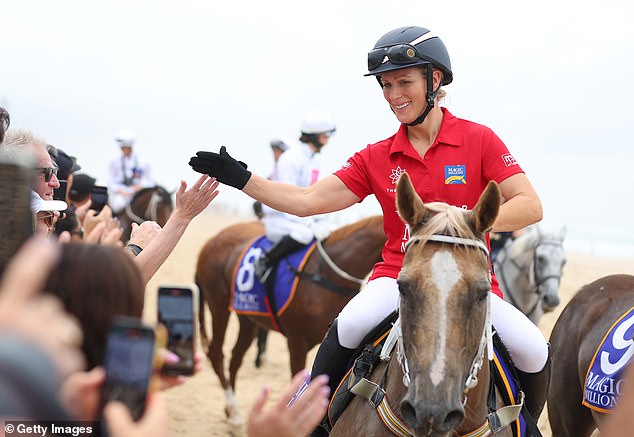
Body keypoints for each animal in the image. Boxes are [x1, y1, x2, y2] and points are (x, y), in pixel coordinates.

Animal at [196, 213, 386, 424]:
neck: (327, 275)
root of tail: (212, 241)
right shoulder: (297, 341)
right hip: (219, 307)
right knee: (216, 353)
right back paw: (233, 409)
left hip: (248, 318)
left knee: (235, 358)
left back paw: (232, 411)